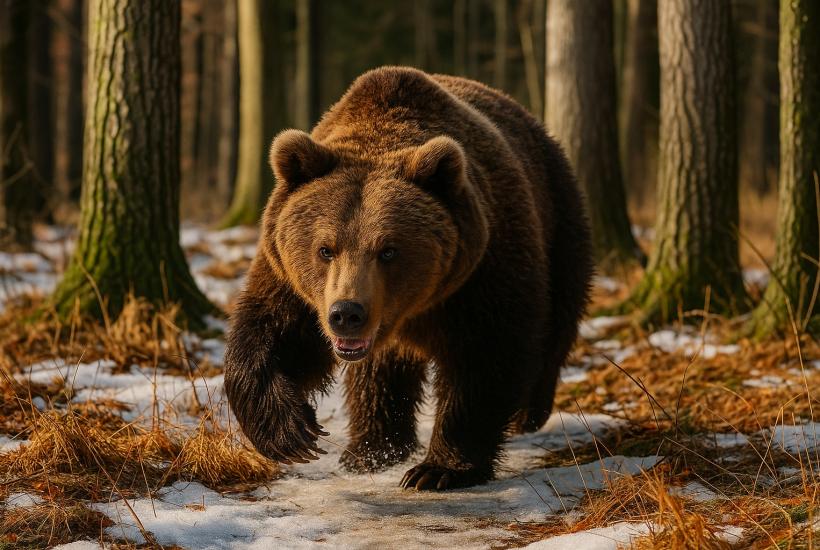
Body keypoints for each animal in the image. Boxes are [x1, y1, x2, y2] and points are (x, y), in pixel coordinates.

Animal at [224, 66, 593, 490]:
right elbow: (272, 331)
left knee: (558, 319)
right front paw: (291, 433)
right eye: (325, 249)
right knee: (377, 375)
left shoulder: (483, 267)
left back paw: (528, 412)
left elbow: (486, 354)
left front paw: (439, 468)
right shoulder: (291, 277)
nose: (346, 313)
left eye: (388, 250)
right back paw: (369, 450)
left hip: (560, 219)